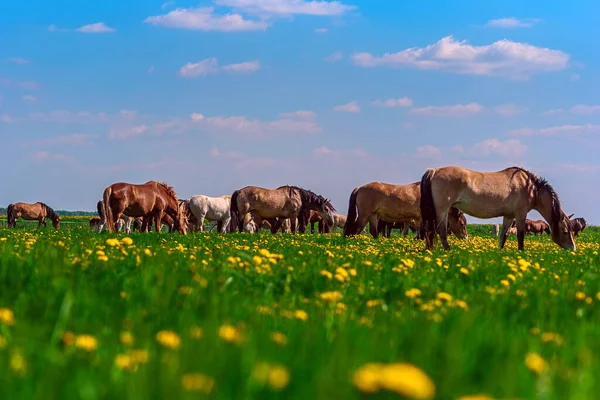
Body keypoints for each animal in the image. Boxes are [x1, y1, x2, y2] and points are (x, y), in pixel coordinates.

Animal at [420, 166, 576, 250]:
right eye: (565, 231)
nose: (573, 249)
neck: (529, 187)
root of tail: (434, 171)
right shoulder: (520, 214)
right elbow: (520, 235)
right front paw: (521, 253)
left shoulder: (509, 216)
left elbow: (503, 236)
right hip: (442, 210)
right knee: (438, 231)